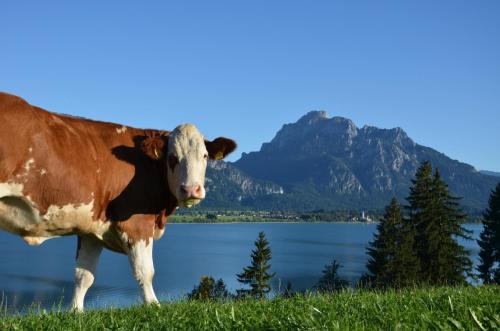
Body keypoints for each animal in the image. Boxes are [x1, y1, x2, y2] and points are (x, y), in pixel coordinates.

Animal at [0, 92, 237, 312]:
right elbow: (145, 271)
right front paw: (154, 306)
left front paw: (75, 312)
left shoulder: (91, 228)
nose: (191, 189)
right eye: (172, 157)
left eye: (204, 156)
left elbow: (83, 275)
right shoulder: (137, 222)